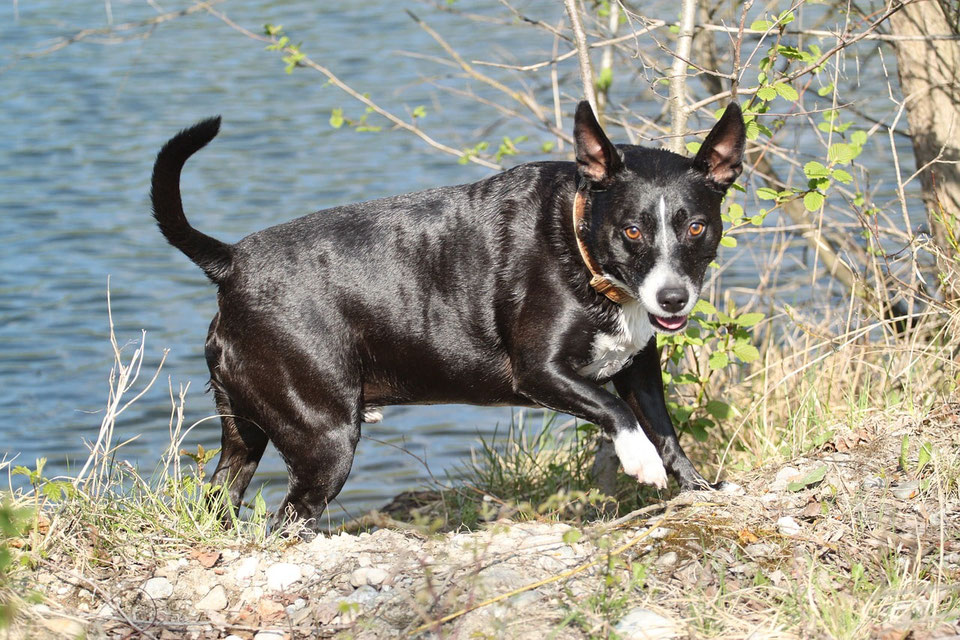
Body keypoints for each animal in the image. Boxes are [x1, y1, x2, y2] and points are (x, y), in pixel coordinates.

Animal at [150, 99, 748, 528]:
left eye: (696, 226)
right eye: (632, 231)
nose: (672, 298)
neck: (579, 241)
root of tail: (233, 262)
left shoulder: (640, 367)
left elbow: (667, 431)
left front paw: (698, 488)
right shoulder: (540, 373)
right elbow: (617, 412)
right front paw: (639, 459)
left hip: (246, 431)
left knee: (221, 496)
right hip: (325, 438)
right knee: (285, 521)